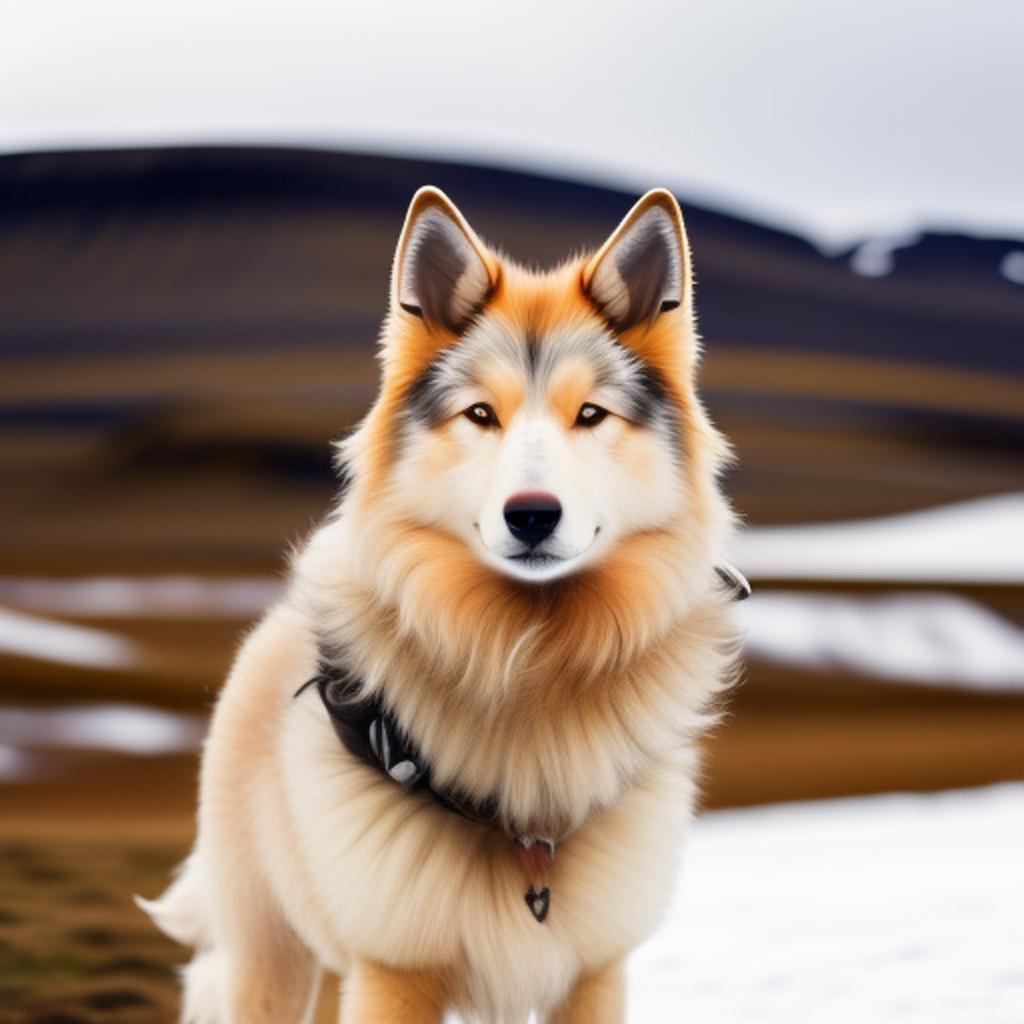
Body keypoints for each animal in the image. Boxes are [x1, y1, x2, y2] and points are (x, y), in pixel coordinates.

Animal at [138, 186, 745, 1024]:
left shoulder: (594, 970)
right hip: (274, 960)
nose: (533, 516)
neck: (525, 662)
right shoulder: (394, 968)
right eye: (480, 415)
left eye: (590, 415)